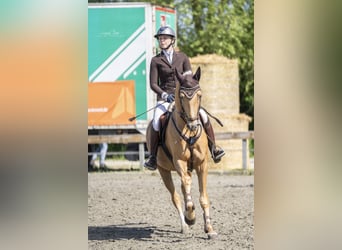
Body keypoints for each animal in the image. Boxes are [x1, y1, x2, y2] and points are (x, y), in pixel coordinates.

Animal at [146, 67, 218, 239]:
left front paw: (209, 229)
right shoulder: (179, 162)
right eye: (182, 96)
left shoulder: (202, 164)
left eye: (200, 95)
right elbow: (186, 188)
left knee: (185, 187)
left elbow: (203, 198)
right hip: (163, 170)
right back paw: (185, 224)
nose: (193, 125)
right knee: (176, 196)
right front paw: (190, 216)